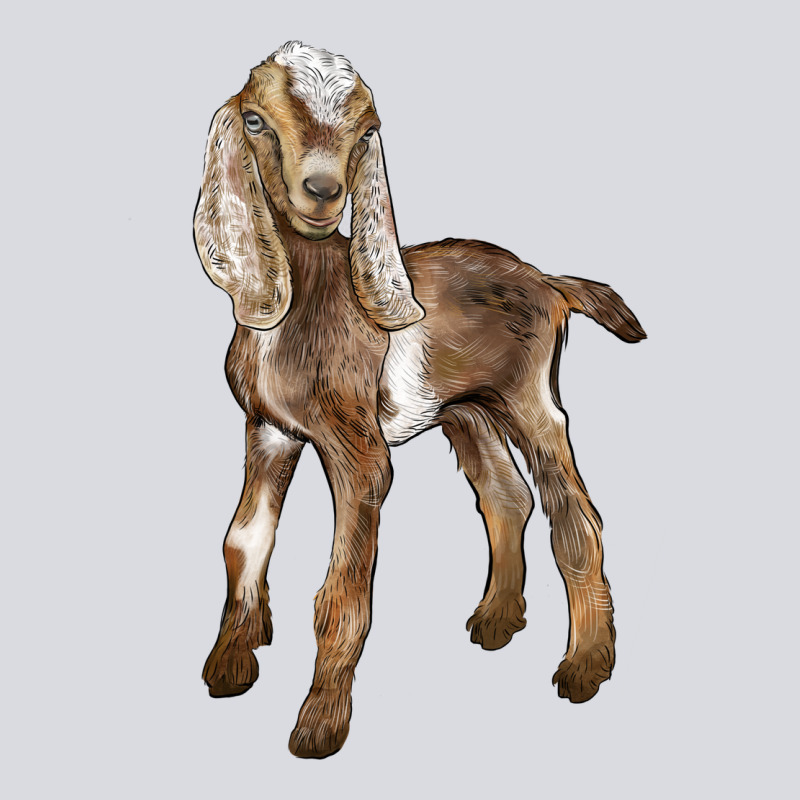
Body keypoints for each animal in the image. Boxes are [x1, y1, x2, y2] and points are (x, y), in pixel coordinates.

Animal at [193, 41, 646, 759]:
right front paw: (231, 664)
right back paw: (496, 620)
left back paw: (584, 668)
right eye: (257, 121)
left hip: (529, 398)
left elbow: (341, 592)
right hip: (468, 410)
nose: (323, 193)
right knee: (506, 497)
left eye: (364, 132)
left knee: (575, 516)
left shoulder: (359, 456)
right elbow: (243, 541)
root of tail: (548, 280)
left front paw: (319, 725)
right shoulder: (268, 431)